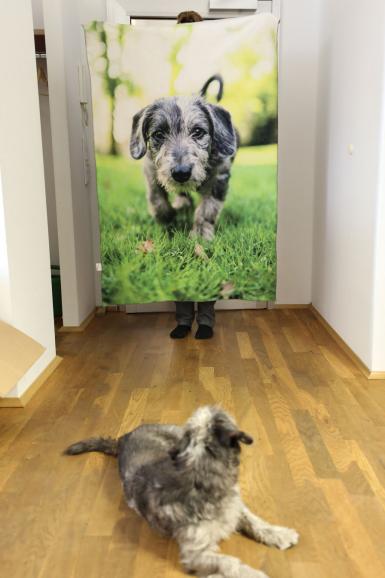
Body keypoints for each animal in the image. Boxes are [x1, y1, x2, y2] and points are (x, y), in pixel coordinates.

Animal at [64, 404, 296, 576]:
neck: (198, 472)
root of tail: (123, 439)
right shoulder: (196, 553)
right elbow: (229, 563)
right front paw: (252, 574)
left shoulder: (235, 507)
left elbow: (255, 521)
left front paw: (279, 534)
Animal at [129, 75, 237, 240]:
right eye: (158, 134)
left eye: (198, 131)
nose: (181, 173)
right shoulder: (150, 170)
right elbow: (156, 198)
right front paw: (168, 218)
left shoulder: (219, 177)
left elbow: (208, 207)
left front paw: (200, 233)